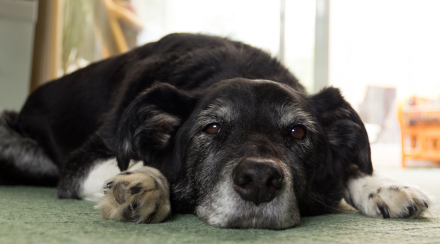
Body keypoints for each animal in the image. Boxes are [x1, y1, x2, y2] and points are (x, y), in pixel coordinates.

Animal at [0, 33, 434, 230]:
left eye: (298, 133)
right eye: (211, 127)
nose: (259, 180)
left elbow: (349, 169)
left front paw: (385, 186)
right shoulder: (81, 162)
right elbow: (142, 165)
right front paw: (143, 184)